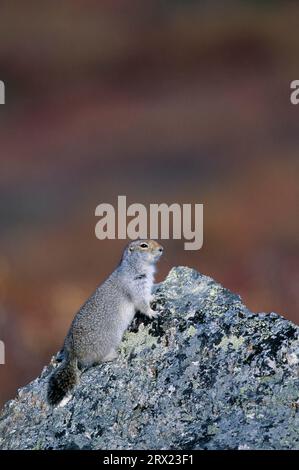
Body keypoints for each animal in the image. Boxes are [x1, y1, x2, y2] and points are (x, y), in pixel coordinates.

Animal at [47, 241, 164, 406]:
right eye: (144, 245)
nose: (161, 249)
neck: (133, 266)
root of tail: (72, 354)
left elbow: (148, 297)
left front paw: (155, 297)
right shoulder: (136, 287)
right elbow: (142, 304)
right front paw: (154, 312)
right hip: (109, 340)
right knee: (97, 360)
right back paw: (113, 355)